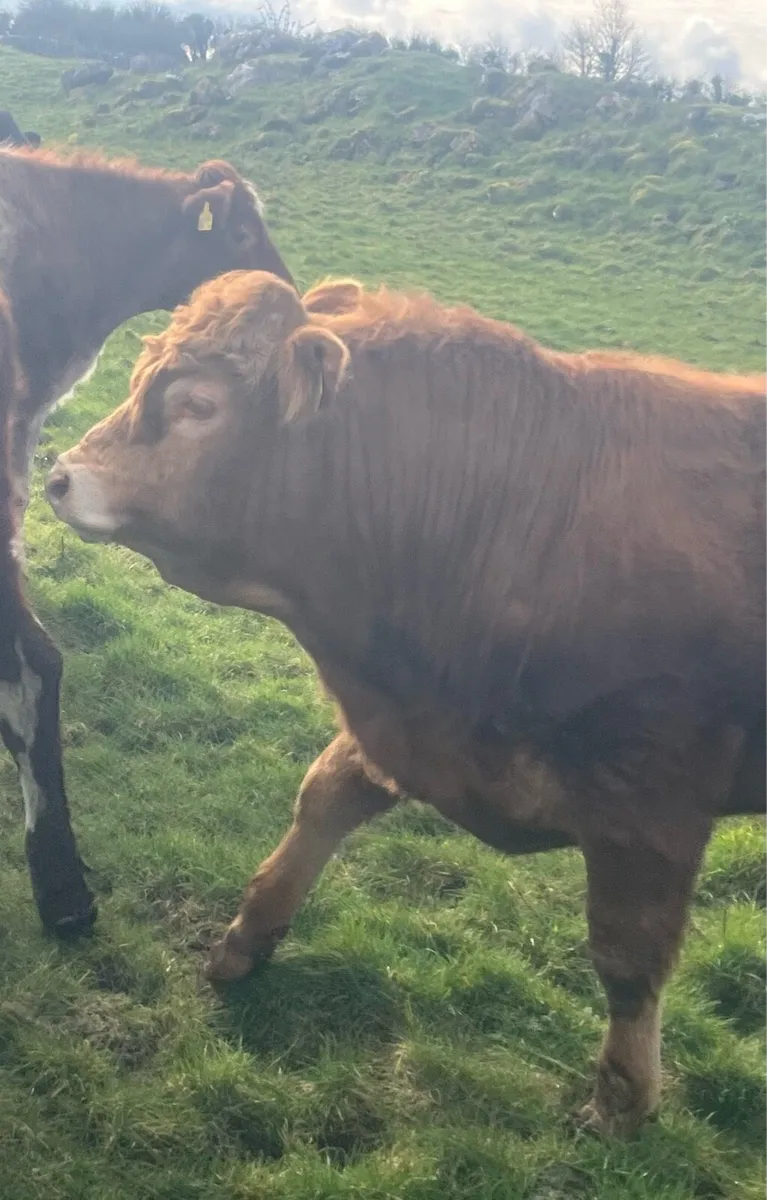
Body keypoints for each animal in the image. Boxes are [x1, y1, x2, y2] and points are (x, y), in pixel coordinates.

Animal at [46, 270, 766, 1136]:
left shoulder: (652, 804)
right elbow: (321, 801)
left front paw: (622, 1101)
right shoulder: (405, 721)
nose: (59, 476)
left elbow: (628, 956)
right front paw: (248, 937)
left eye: (197, 405)